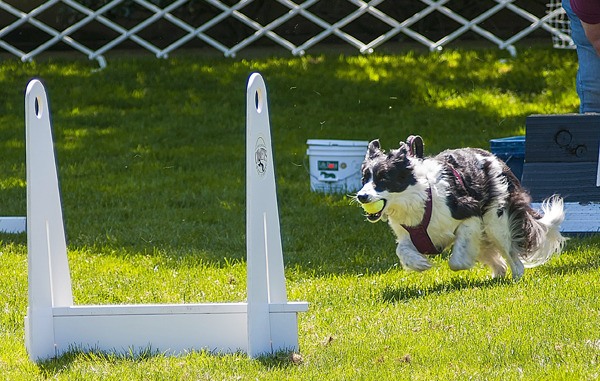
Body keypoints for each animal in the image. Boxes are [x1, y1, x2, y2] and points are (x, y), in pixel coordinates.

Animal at [356, 137, 568, 280]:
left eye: (383, 178)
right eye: (364, 179)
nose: (361, 196)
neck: (418, 196)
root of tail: (498, 160)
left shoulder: (470, 215)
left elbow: (456, 262)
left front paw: (459, 263)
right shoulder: (408, 233)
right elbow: (401, 249)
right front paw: (420, 263)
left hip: (495, 223)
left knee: (513, 259)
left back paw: (515, 278)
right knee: (499, 262)